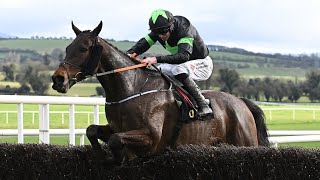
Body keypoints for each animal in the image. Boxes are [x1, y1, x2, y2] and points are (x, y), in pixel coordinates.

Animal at [51, 21, 268, 166]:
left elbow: (116, 140)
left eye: (83, 48)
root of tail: (241, 102)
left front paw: (119, 158)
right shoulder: (115, 127)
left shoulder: (152, 138)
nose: (58, 79)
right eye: (68, 47)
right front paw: (104, 159)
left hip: (245, 144)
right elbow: (92, 130)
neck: (131, 88)